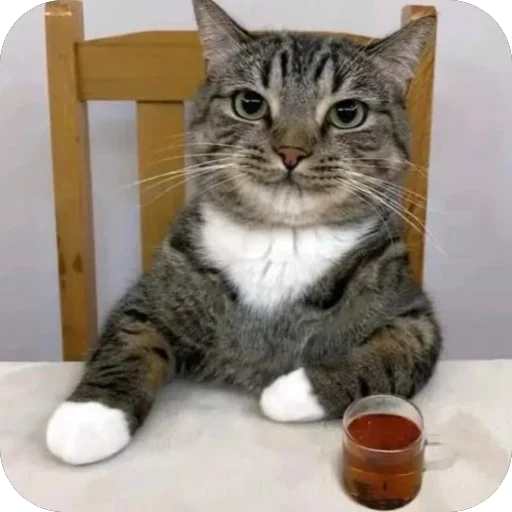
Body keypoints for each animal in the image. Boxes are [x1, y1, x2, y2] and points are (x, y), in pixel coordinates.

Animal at [46, 0, 442, 465]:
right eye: (249, 103)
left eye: (348, 113)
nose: (291, 151)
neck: (281, 240)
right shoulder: (152, 292)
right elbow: (127, 342)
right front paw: (88, 419)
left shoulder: (412, 314)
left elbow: (384, 360)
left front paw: (292, 393)